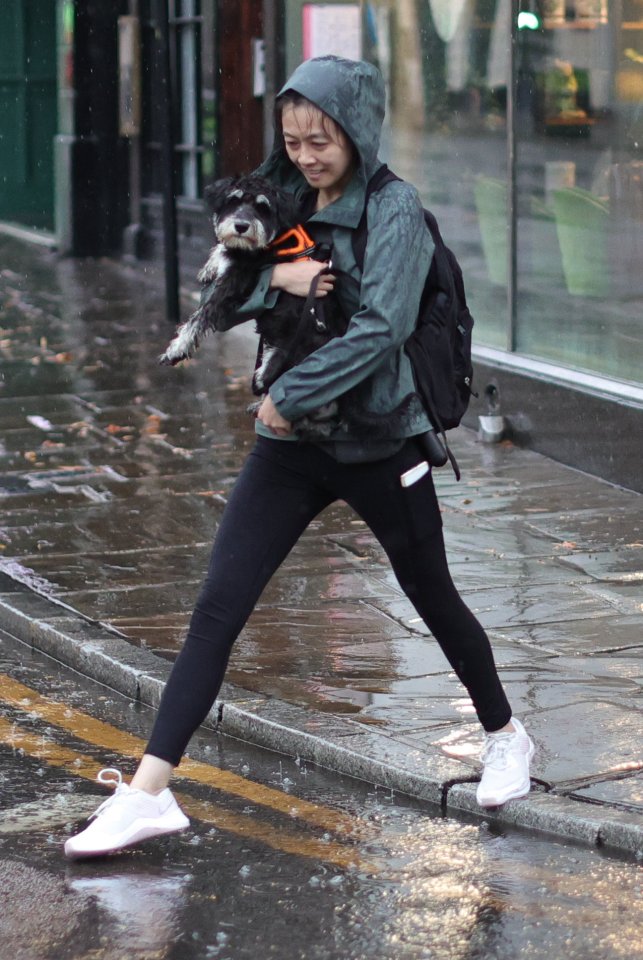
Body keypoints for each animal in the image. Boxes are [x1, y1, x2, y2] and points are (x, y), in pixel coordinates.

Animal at [161, 176, 352, 438]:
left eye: (263, 207)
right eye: (233, 200)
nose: (241, 226)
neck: (277, 237)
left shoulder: (236, 280)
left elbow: (203, 314)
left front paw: (177, 348)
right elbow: (224, 249)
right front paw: (210, 266)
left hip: (280, 360)